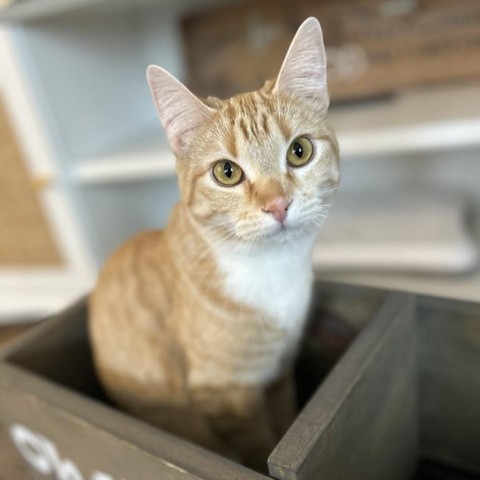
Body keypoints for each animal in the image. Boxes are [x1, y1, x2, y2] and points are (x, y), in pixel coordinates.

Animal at [89, 17, 338, 468]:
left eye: (299, 151)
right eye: (227, 172)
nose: (278, 205)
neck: (271, 271)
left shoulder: (279, 372)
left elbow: (285, 420)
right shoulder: (227, 393)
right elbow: (256, 446)